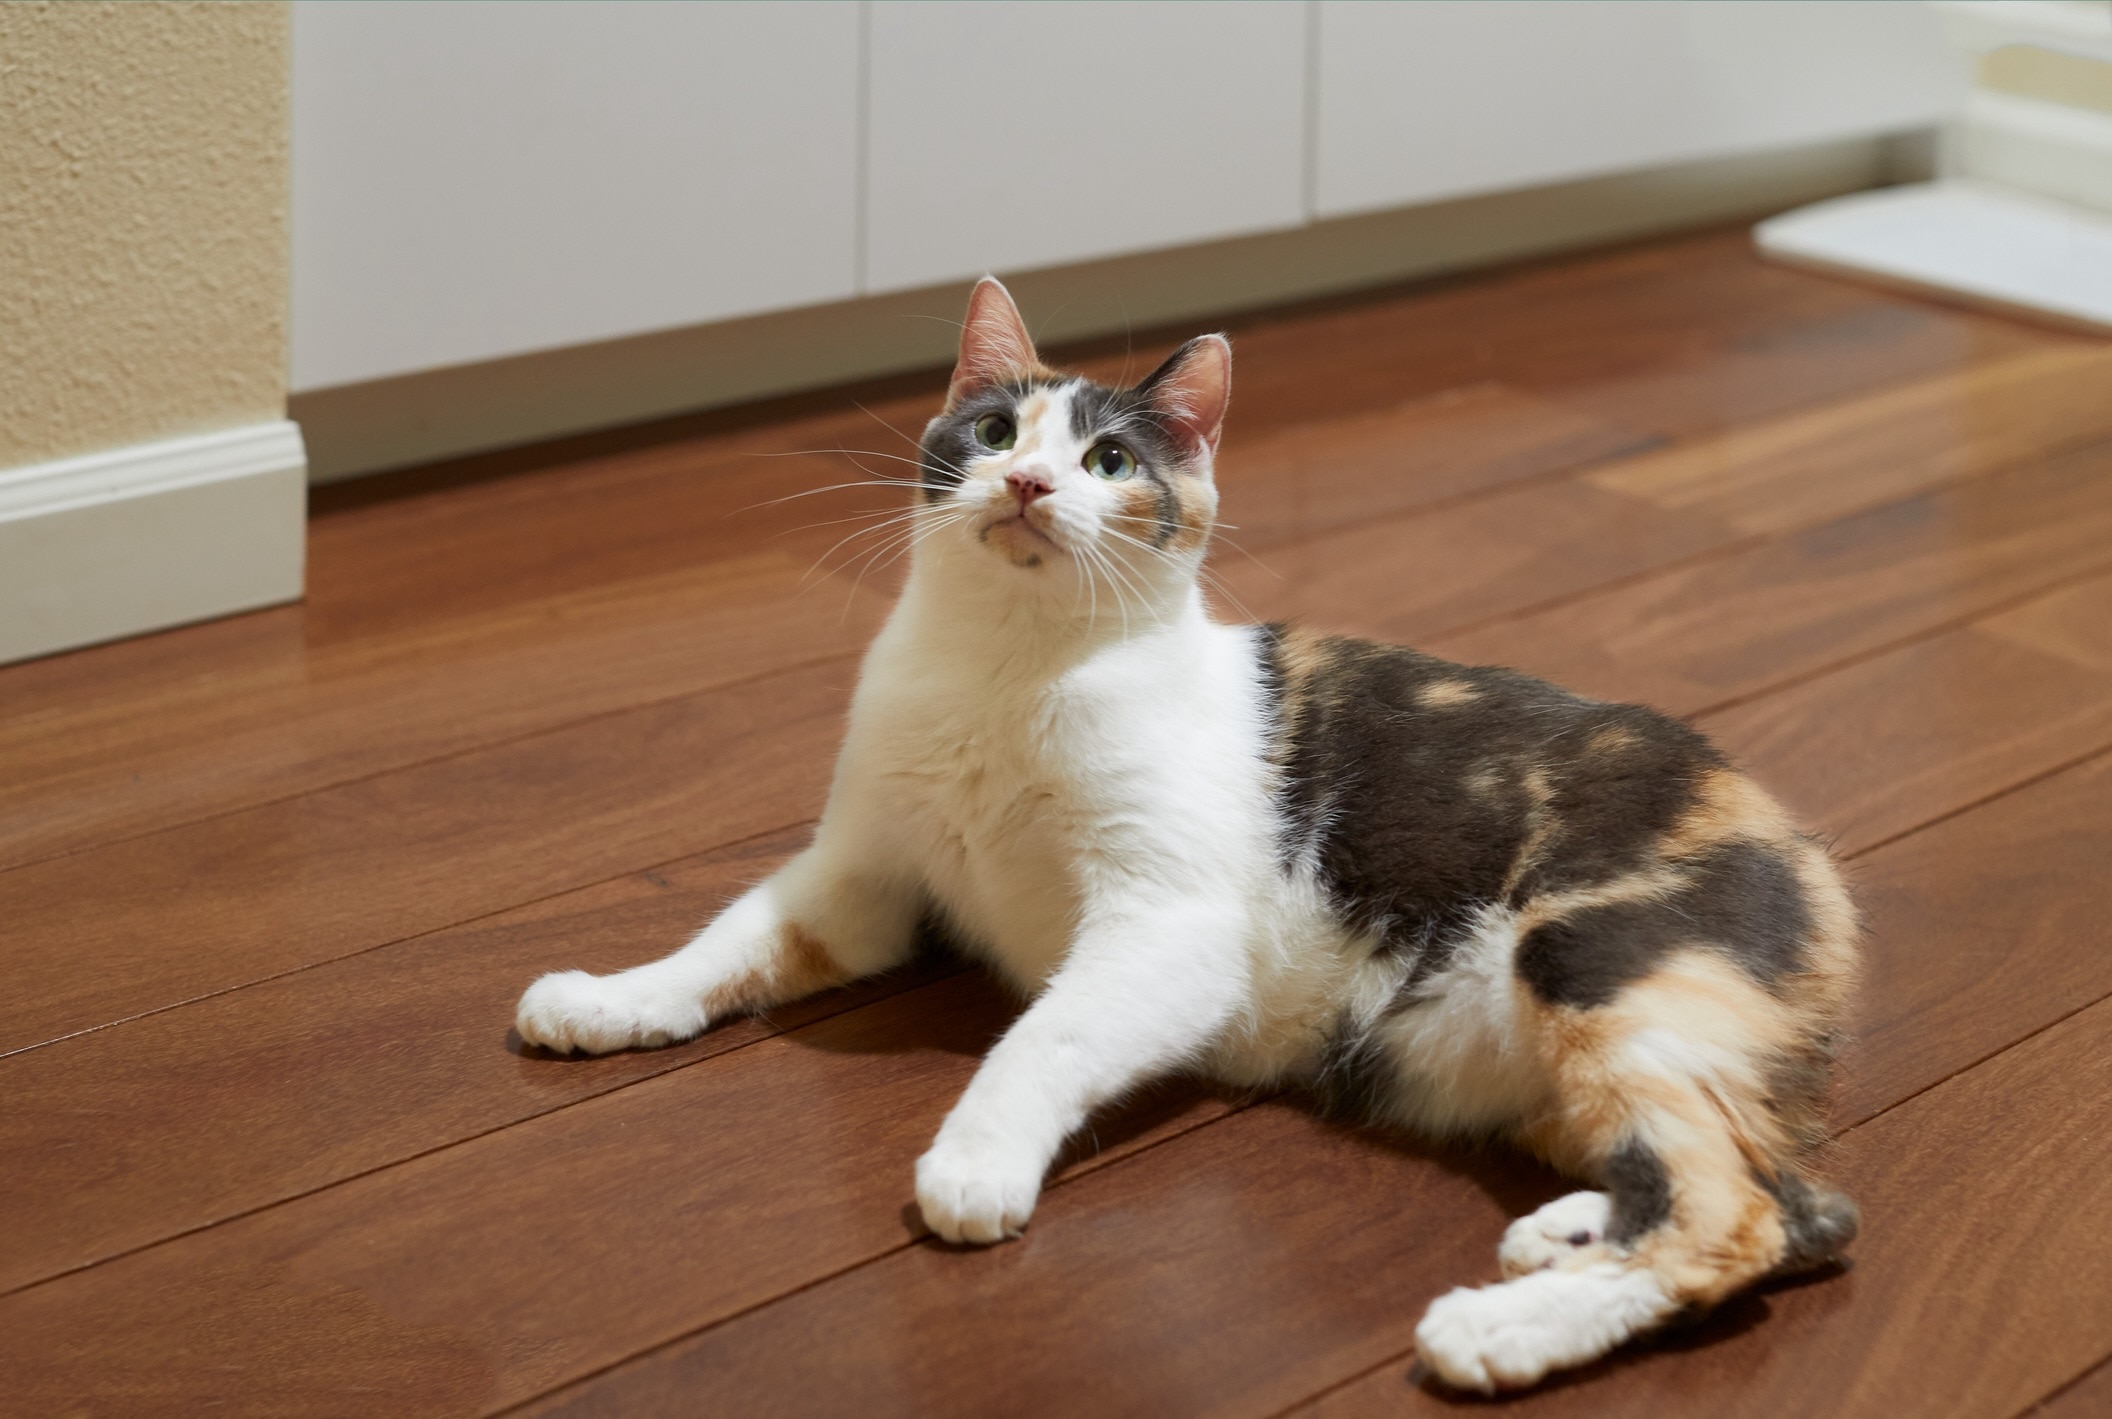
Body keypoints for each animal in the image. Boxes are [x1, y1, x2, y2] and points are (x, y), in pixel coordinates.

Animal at [519, 274, 1858, 1385]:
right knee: (1791, 1197)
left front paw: (977, 1158)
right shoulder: (860, 879)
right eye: (993, 433)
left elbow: (1046, 1037)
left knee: (1745, 1210)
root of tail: (1808, 852)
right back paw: (1565, 1233)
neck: (1009, 672)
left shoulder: (1168, 929)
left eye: (1110, 458)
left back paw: (1504, 1328)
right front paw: (608, 998)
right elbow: (730, 940)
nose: (1028, 484)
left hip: (1593, 958)